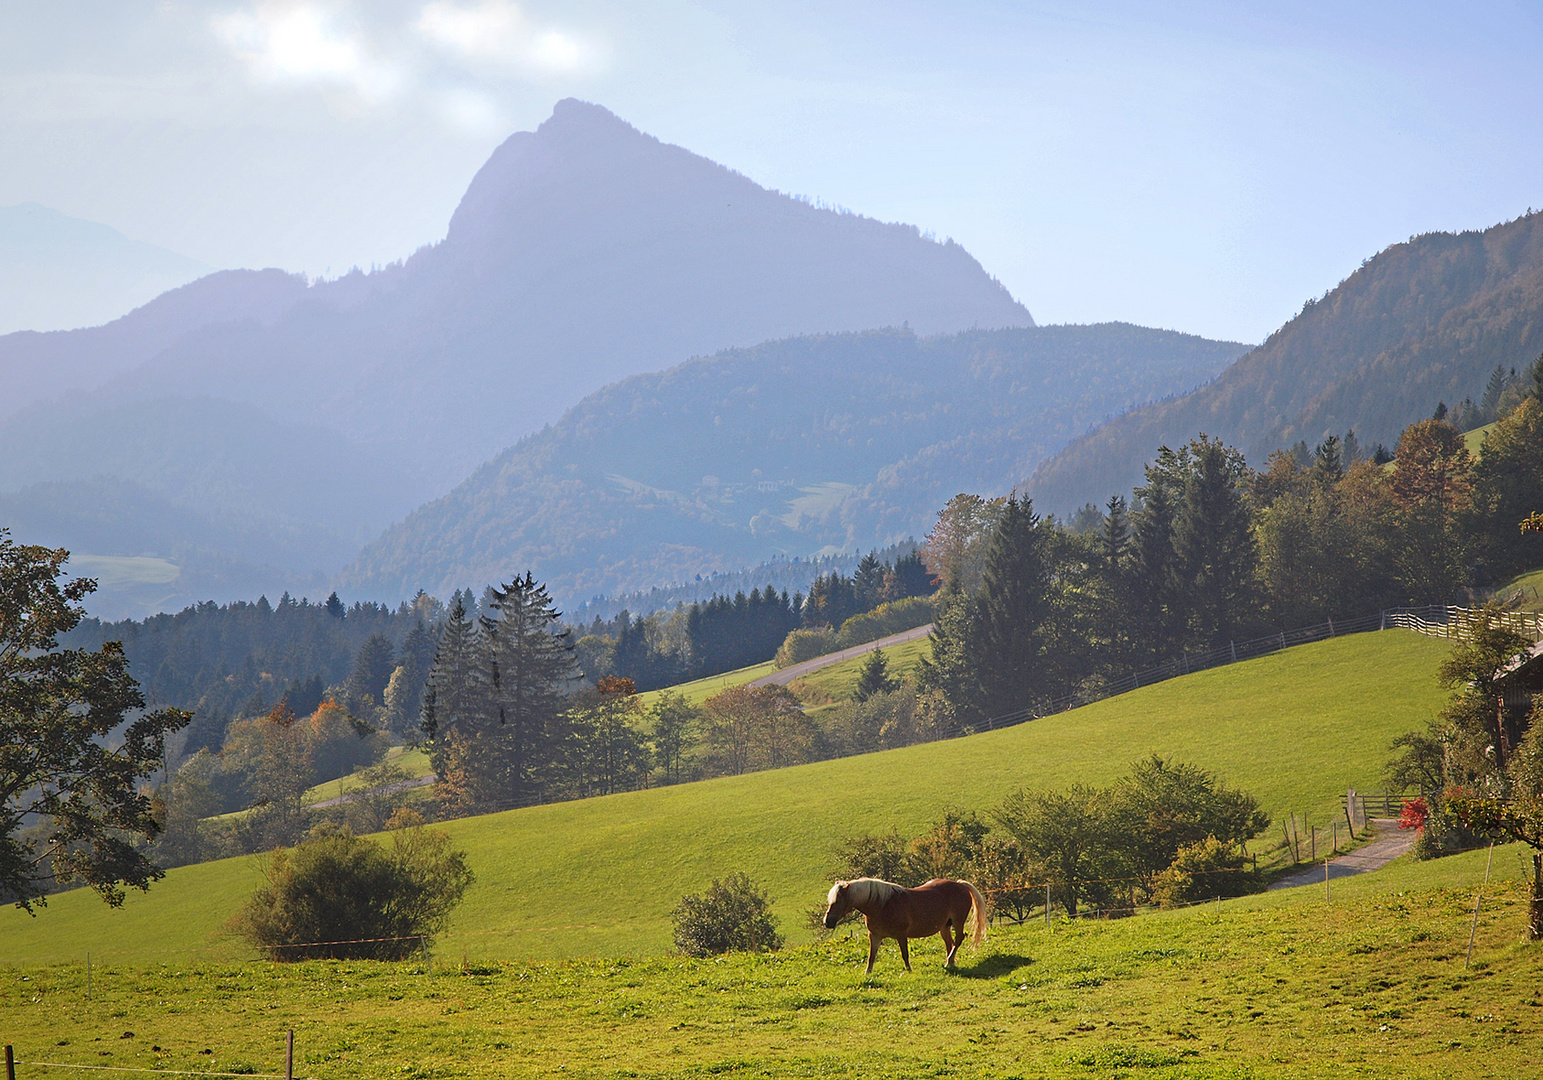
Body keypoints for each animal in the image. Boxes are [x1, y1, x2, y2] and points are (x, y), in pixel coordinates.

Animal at [820, 876, 987, 975]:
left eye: (838, 900)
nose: (827, 921)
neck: (881, 904)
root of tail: (960, 885)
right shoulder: (874, 936)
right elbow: (871, 956)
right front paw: (868, 973)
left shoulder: (901, 935)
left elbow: (904, 954)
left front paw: (909, 970)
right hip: (944, 927)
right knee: (950, 943)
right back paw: (950, 962)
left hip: (958, 922)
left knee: (958, 940)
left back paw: (948, 962)